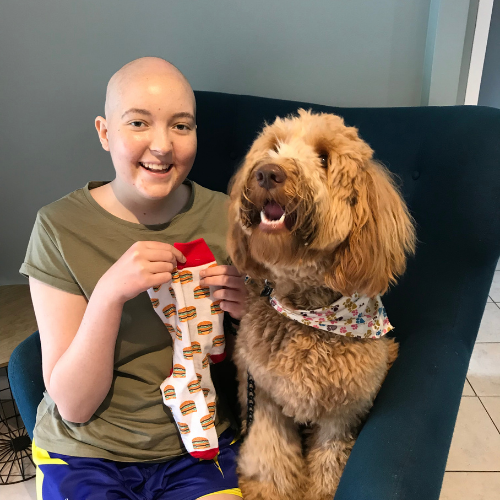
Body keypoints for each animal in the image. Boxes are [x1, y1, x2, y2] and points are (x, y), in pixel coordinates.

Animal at [228, 110, 418, 500]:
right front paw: (267, 490)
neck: (306, 311)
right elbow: (269, 454)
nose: (267, 172)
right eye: (273, 146)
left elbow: (330, 464)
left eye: (324, 159)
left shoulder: (343, 414)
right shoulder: (265, 398)